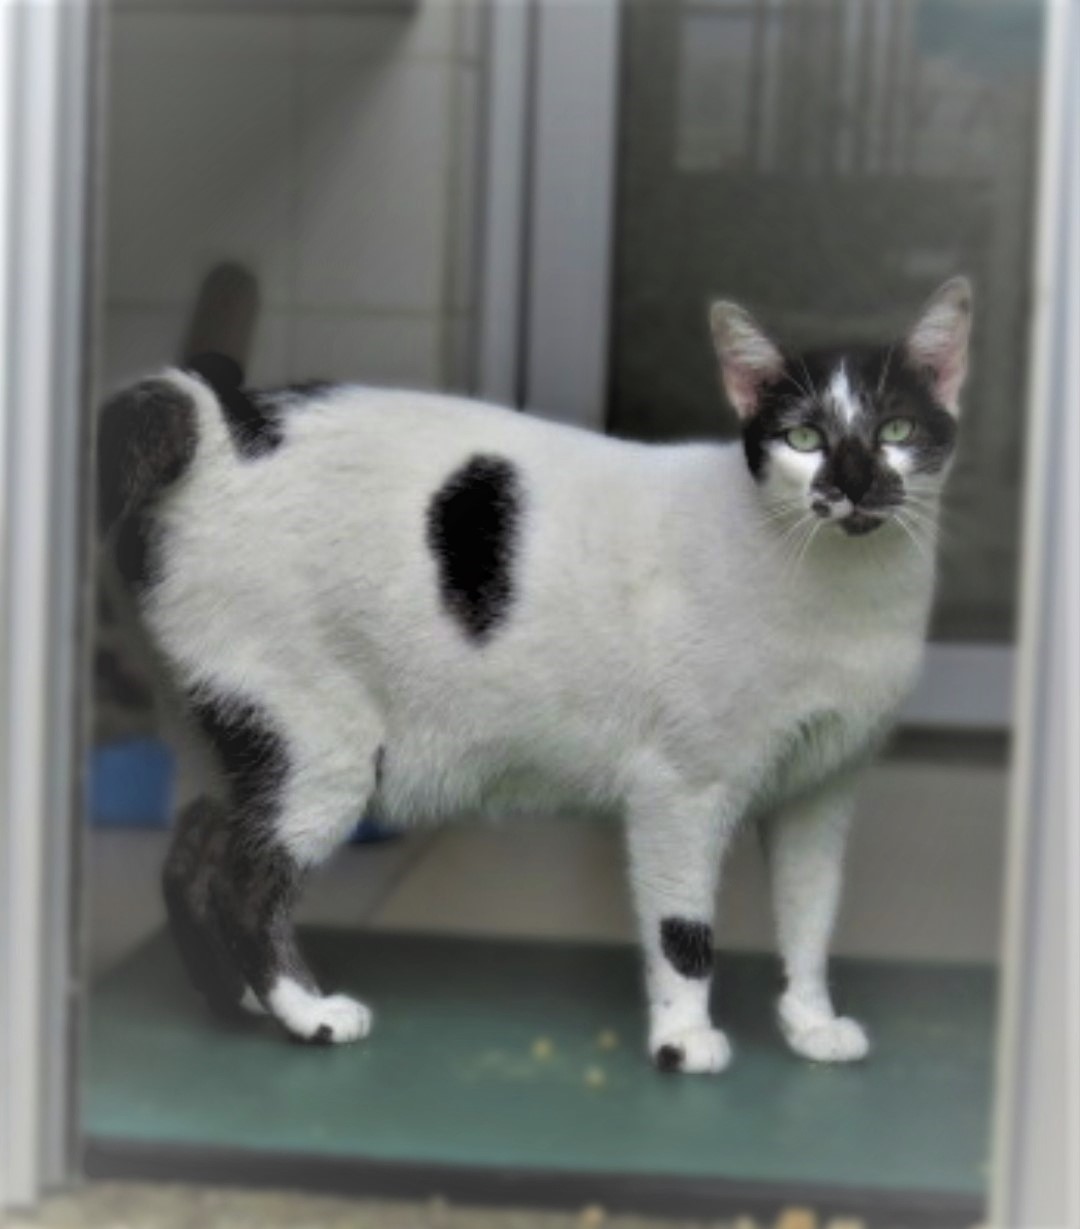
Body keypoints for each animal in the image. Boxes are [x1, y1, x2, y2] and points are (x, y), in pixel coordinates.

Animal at [95, 278, 973, 1076]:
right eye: (803, 436)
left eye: (895, 430)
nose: (851, 484)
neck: (846, 591)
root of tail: (220, 423)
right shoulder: (681, 792)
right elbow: (683, 930)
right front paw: (683, 1038)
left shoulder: (818, 795)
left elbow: (810, 919)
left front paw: (809, 1023)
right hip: (318, 748)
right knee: (246, 881)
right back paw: (305, 1011)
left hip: (244, 736)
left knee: (192, 850)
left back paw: (236, 997)